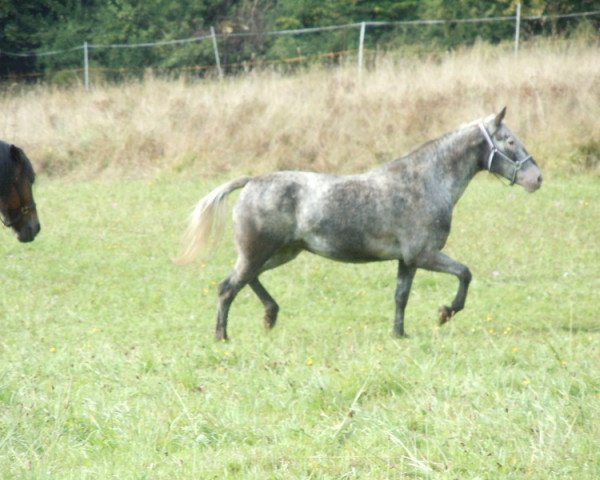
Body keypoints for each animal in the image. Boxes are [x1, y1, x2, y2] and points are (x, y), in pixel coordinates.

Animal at [180, 109, 540, 342]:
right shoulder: (424, 254)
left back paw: (270, 315)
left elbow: (401, 296)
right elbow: (465, 273)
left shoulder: (407, 261)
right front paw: (445, 312)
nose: (536, 178)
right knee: (228, 287)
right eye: (508, 141)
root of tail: (251, 181)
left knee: (244, 280)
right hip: (260, 252)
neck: (426, 182)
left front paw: (399, 333)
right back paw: (223, 336)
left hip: (280, 253)